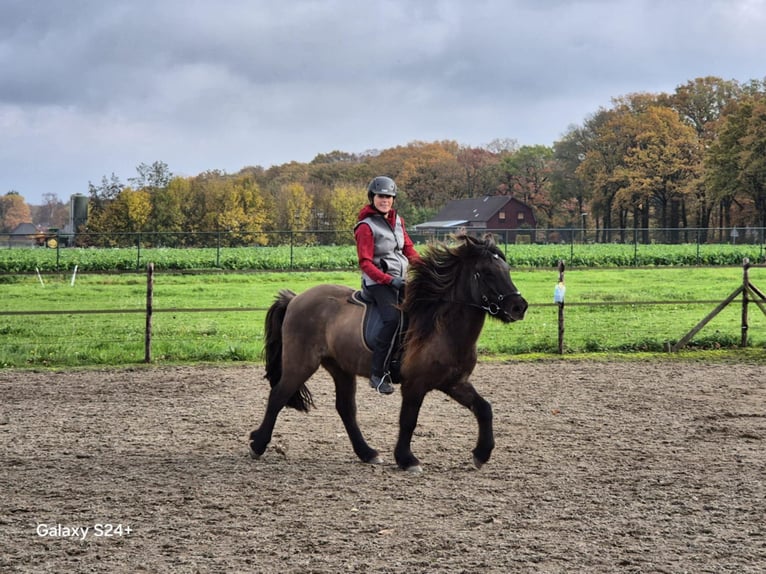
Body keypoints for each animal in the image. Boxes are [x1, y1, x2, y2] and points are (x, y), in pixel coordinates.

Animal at [248, 233, 528, 472]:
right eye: (487, 273)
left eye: (507, 270)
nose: (519, 307)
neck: (442, 327)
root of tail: (295, 299)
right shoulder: (415, 385)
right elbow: (408, 420)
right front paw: (407, 459)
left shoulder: (454, 382)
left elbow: (484, 409)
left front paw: (482, 454)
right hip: (301, 363)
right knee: (278, 396)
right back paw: (258, 444)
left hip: (340, 368)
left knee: (346, 409)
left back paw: (367, 453)